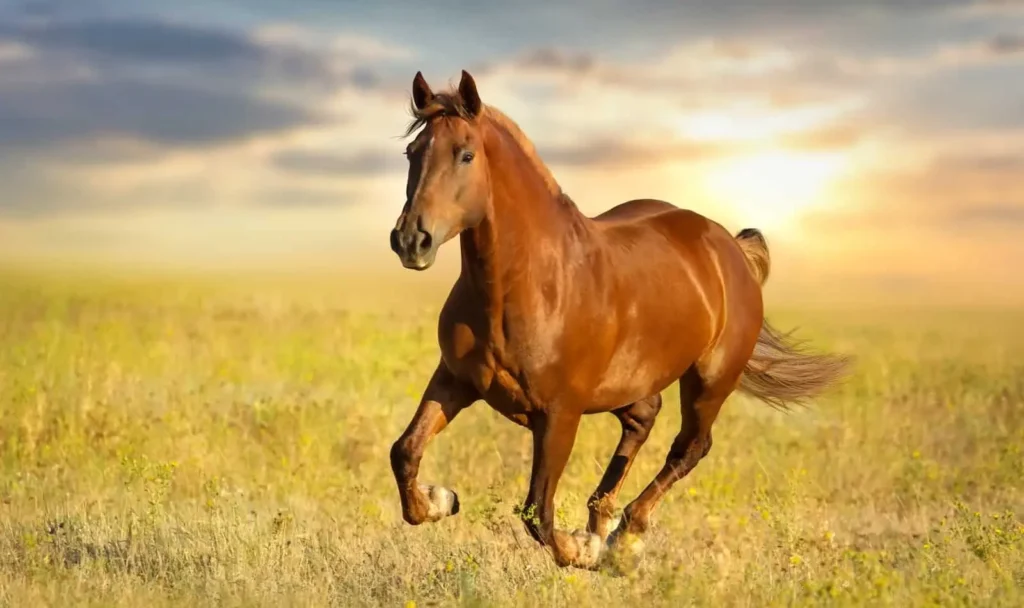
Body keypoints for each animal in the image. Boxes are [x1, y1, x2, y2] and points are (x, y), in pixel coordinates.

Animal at [385, 71, 847, 569]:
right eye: (412, 153)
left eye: (466, 154)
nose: (411, 240)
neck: (527, 286)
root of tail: (730, 247)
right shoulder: (455, 380)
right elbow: (404, 452)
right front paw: (441, 499)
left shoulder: (560, 414)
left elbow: (537, 511)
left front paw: (583, 549)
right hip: (629, 384)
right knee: (644, 419)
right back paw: (603, 519)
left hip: (708, 382)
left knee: (690, 447)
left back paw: (625, 536)